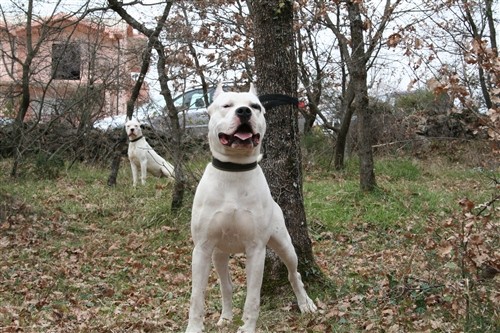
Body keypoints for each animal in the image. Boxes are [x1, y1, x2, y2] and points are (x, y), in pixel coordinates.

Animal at [186, 83, 314, 332]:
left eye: (256, 106)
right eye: (226, 105)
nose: (244, 111)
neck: (234, 170)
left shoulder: (256, 250)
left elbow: (253, 298)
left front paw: (247, 327)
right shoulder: (202, 249)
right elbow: (196, 297)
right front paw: (194, 327)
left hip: (285, 245)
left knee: (295, 274)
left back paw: (305, 303)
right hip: (218, 254)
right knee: (226, 286)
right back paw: (226, 317)